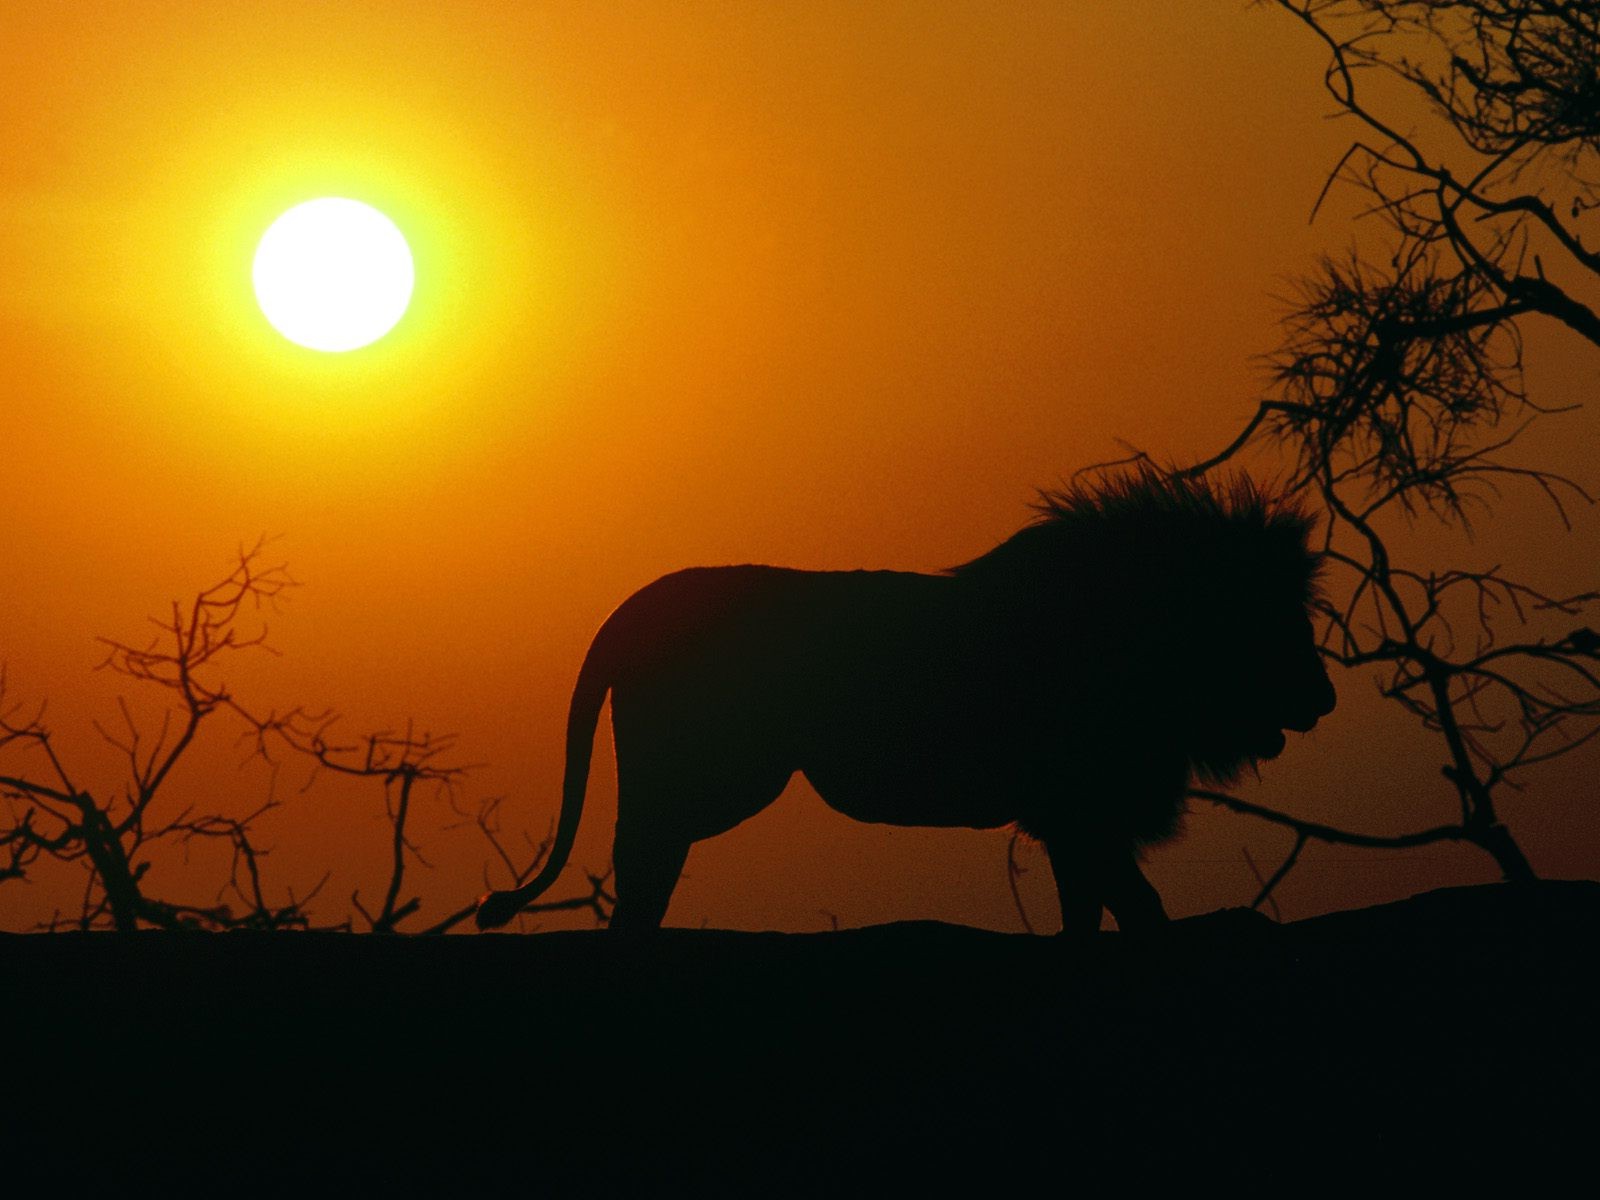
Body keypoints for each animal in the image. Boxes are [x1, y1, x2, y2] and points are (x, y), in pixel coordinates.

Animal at [476, 468, 1334, 936]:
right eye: (1277, 624)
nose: (1325, 698)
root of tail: (636, 606)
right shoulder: (1080, 808)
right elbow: (1134, 902)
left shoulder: (1074, 819)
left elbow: (1093, 908)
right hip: (711, 777)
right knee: (644, 860)